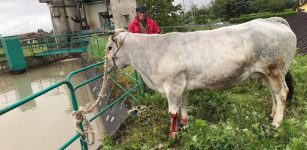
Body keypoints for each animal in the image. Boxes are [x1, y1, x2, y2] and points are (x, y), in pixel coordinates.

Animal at [105, 17, 296, 138]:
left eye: (108, 48)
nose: (106, 67)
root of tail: (272, 20)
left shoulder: (172, 86)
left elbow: (172, 112)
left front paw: (172, 135)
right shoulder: (181, 86)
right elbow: (183, 106)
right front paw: (184, 124)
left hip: (275, 70)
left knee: (281, 93)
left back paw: (276, 123)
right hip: (265, 73)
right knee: (273, 93)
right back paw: (272, 114)